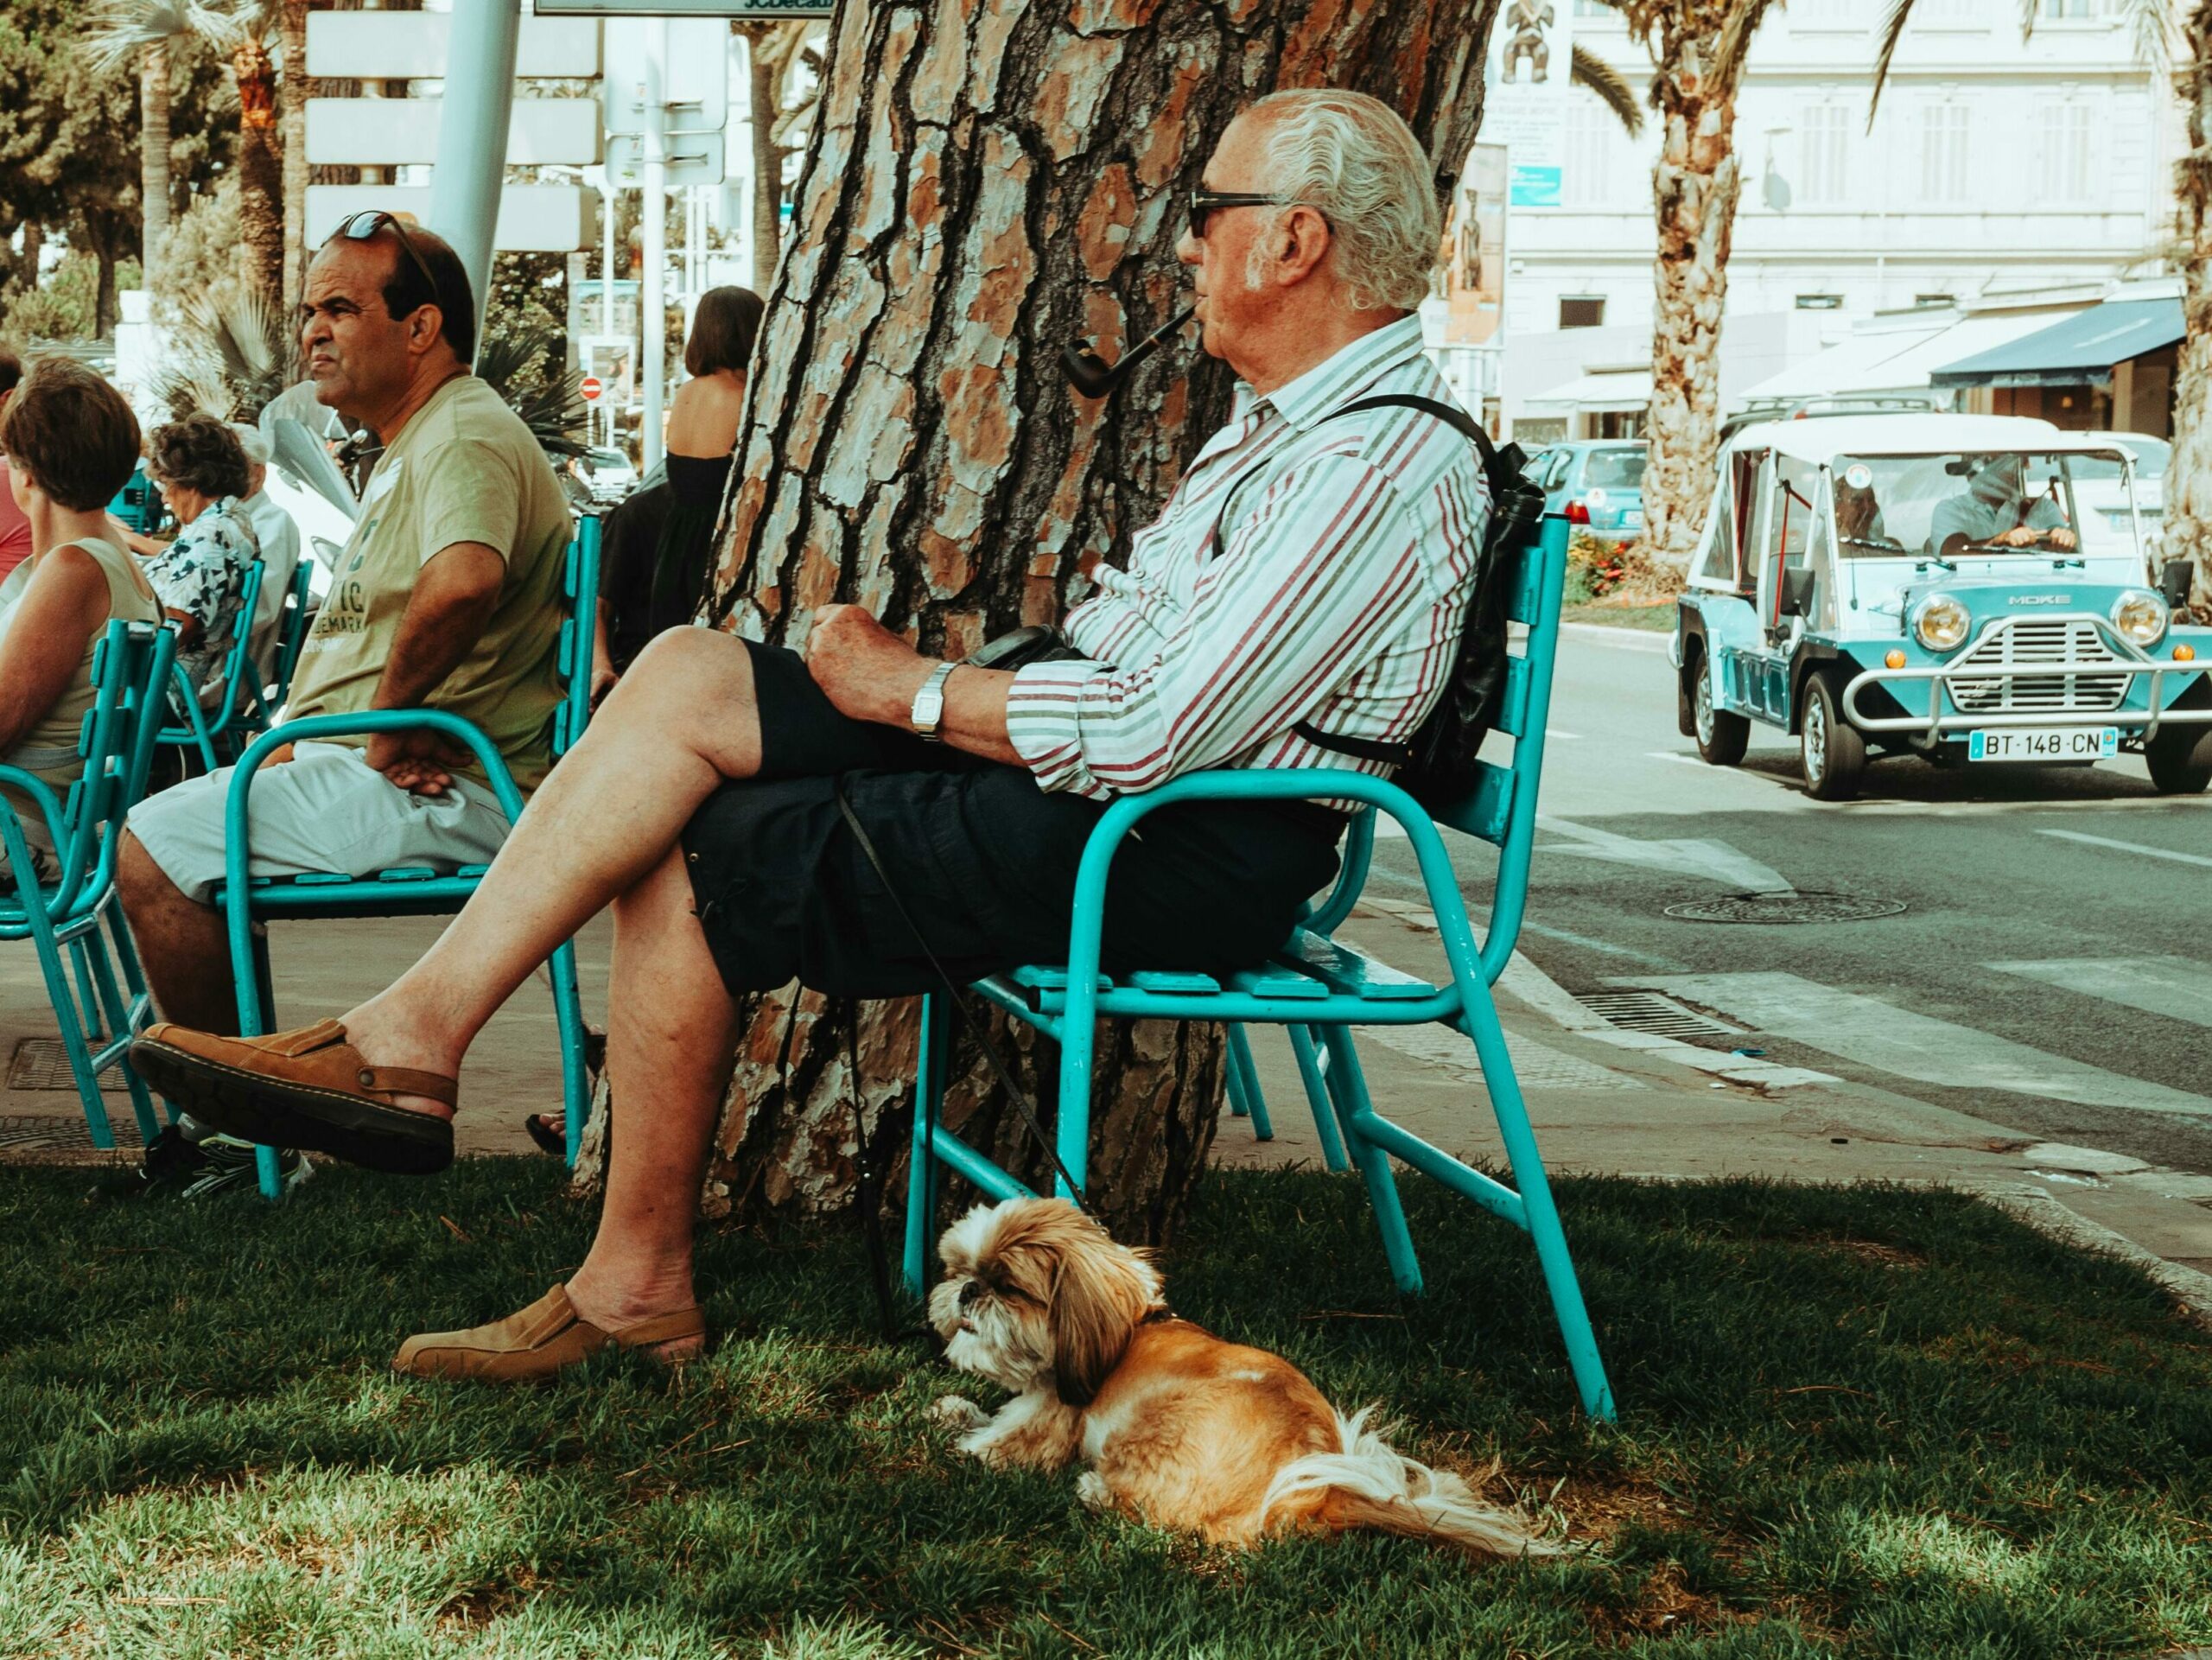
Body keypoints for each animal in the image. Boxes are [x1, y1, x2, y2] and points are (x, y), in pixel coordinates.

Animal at [925, 1195, 1566, 1558]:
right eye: (958, 1269)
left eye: (1008, 1285)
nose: (968, 1289)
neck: (1118, 1330)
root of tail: (1309, 1492)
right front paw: (954, 1411)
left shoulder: (1054, 1414)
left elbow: (999, 1442)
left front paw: (962, 1443)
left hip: (1154, 1424)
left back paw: (1096, 1490)